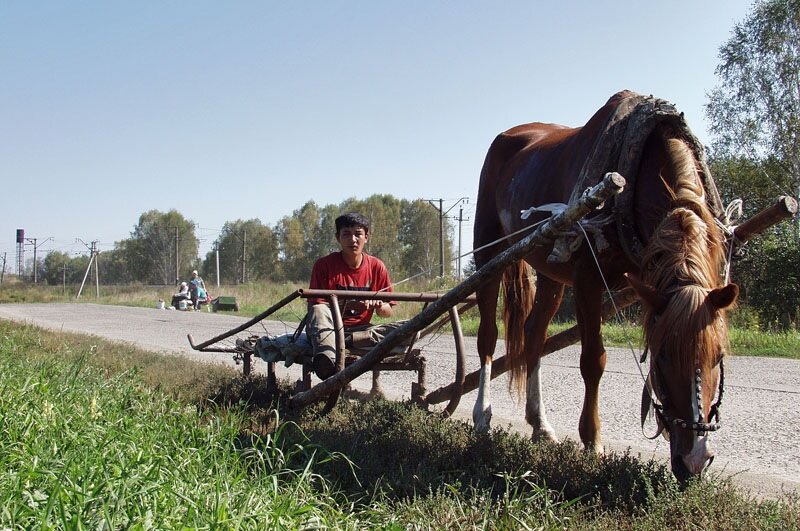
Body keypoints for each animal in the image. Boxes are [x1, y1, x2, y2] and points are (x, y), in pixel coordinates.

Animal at [472, 90, 740, 482]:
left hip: (551, 268)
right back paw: (482, 414)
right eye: (662, 356)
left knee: (534, 335)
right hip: (488, 252)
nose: (693, 462)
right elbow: (593, 360)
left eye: (718, 357)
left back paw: (540, 424)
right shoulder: (588, 277)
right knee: (488, 337)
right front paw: (592, 439)